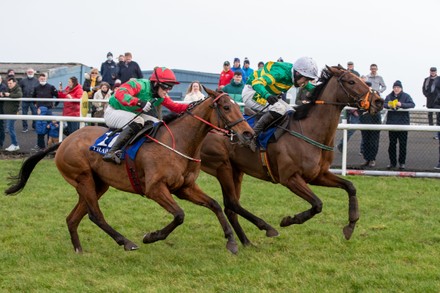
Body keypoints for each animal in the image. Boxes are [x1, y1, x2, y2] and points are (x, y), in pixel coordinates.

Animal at [6, 87, 254, 253]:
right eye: (226, 107)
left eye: (235, 105)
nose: (248, 133)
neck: (179, 142)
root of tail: (64, 141)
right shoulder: (155, 189)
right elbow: (179, 215)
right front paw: (152, 236)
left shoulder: (185, 187)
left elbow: (214, 204)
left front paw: (232, 241)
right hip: (83, 179)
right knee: (95, 215)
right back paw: (126, 242)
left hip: (97, 184)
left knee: (73, 218)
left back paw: (79, 250)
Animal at [201, 65, 384, 244]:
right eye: (351, 81)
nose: (379, 101)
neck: (309, 131)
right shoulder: (289, 178)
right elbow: (317, 204)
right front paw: (288, 220)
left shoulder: (318, 175)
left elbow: (350, 186)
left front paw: (351, 225)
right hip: (221, 166)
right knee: (230, 203)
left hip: (236, 170)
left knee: (231, 207)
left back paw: (246, 241)